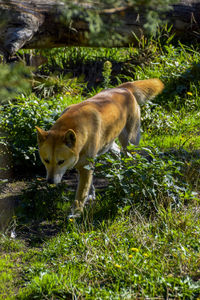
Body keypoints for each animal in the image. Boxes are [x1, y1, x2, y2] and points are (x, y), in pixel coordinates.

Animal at [36, 78, 164, 216]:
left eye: (61, 162)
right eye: (46, 160)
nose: (50, 181)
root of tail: (124, 88)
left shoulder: (85, 165)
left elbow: (81, 192)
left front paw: (76, 212)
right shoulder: (85, 164)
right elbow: (89, 184)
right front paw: (91, 196)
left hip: (129, 143)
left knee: (132, 161)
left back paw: (128, 178)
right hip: (107, 143)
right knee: (117, 152)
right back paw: (118, 172)